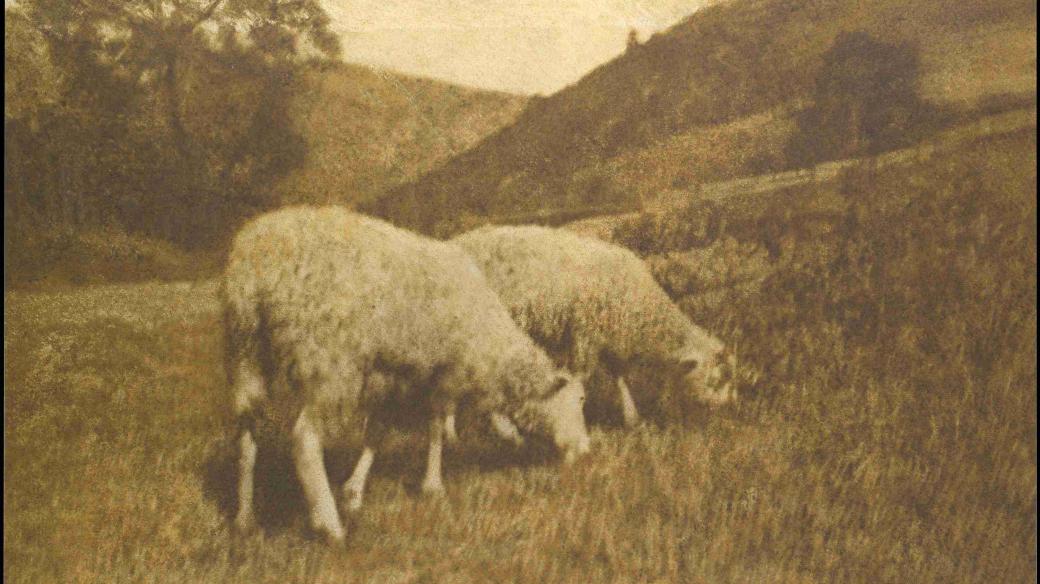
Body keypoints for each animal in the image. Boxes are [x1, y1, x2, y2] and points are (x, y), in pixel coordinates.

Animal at [222, 205, 590, 540]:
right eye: (576, 403)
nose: (586, 451)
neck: (489, 341)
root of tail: (259, 262)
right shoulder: (443, 374)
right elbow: (436, 427)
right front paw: (433, 485)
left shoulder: (390, 378)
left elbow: (377, 434)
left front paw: (354, 492)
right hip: (330, 362)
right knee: (304, 441)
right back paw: (329, 525)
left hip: (245, 354)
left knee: (246, 436)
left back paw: (244, 517)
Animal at [455, 222, 740, 428]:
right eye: (715, 380)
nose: (729, 412)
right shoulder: (584, 335)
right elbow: (580, 379)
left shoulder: (608, 337)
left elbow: (620, 376)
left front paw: (631, 418)